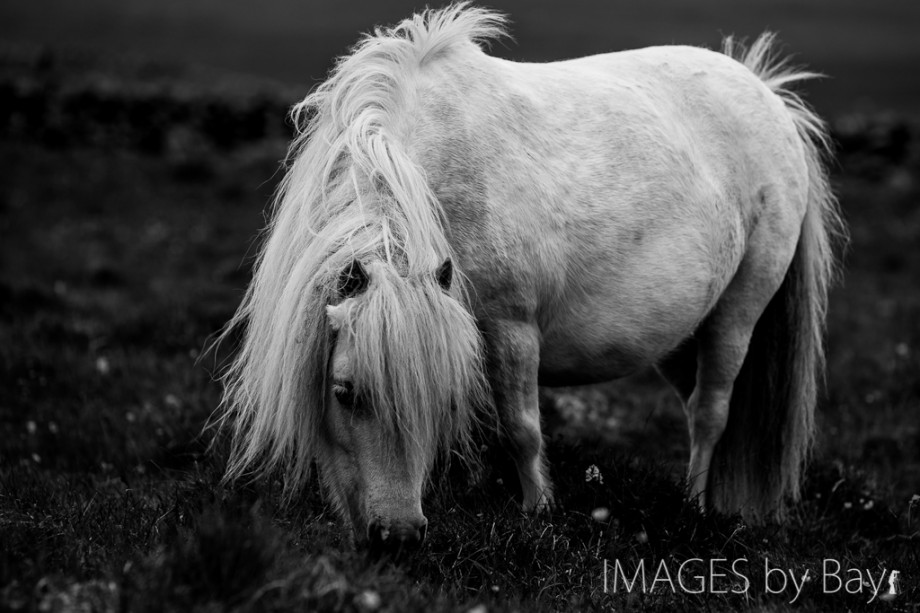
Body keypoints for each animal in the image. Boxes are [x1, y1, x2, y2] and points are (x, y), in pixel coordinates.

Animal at [214, 4, 840, 548]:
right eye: (343, 392)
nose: (397, 537)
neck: (436, 176)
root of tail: (766, 92)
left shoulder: (510, 329)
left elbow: (521, 428)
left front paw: (538, 513)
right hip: (683, 333)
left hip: (737, 314)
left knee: (711, 412)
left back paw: (693, 505)